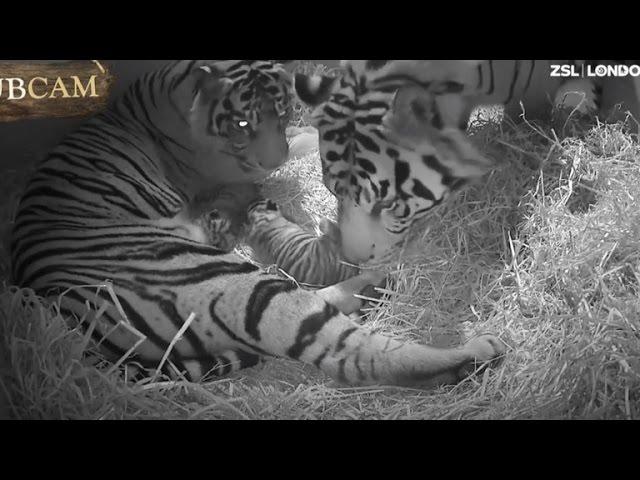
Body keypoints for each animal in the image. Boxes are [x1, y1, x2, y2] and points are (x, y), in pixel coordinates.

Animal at [7, 60, 502, 388]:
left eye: (281, 112)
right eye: (243, 123)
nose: (272, 156)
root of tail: (72, 322)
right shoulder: (230, 172)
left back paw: (373, 286)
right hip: (230, 283)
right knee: (348, 351)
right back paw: (468, 346)